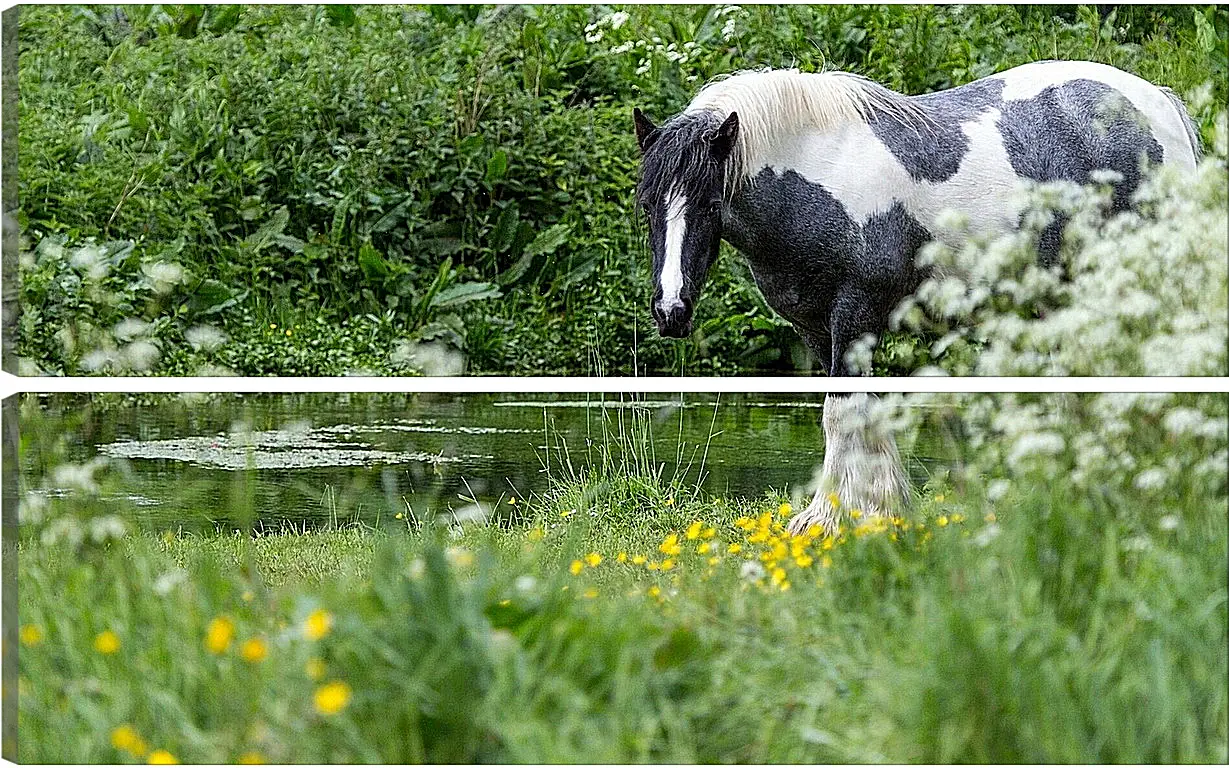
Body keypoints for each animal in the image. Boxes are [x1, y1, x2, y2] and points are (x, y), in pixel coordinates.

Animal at [634, 61, 1199, 533]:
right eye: (647, 206)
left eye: (710, 203)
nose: (670, 311)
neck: (819, 174)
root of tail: (1160, 105)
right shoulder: (817, 330)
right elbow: (861, 414)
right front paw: (879, 510)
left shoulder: (855, 315)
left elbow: (841, 415)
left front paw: (834, 520)